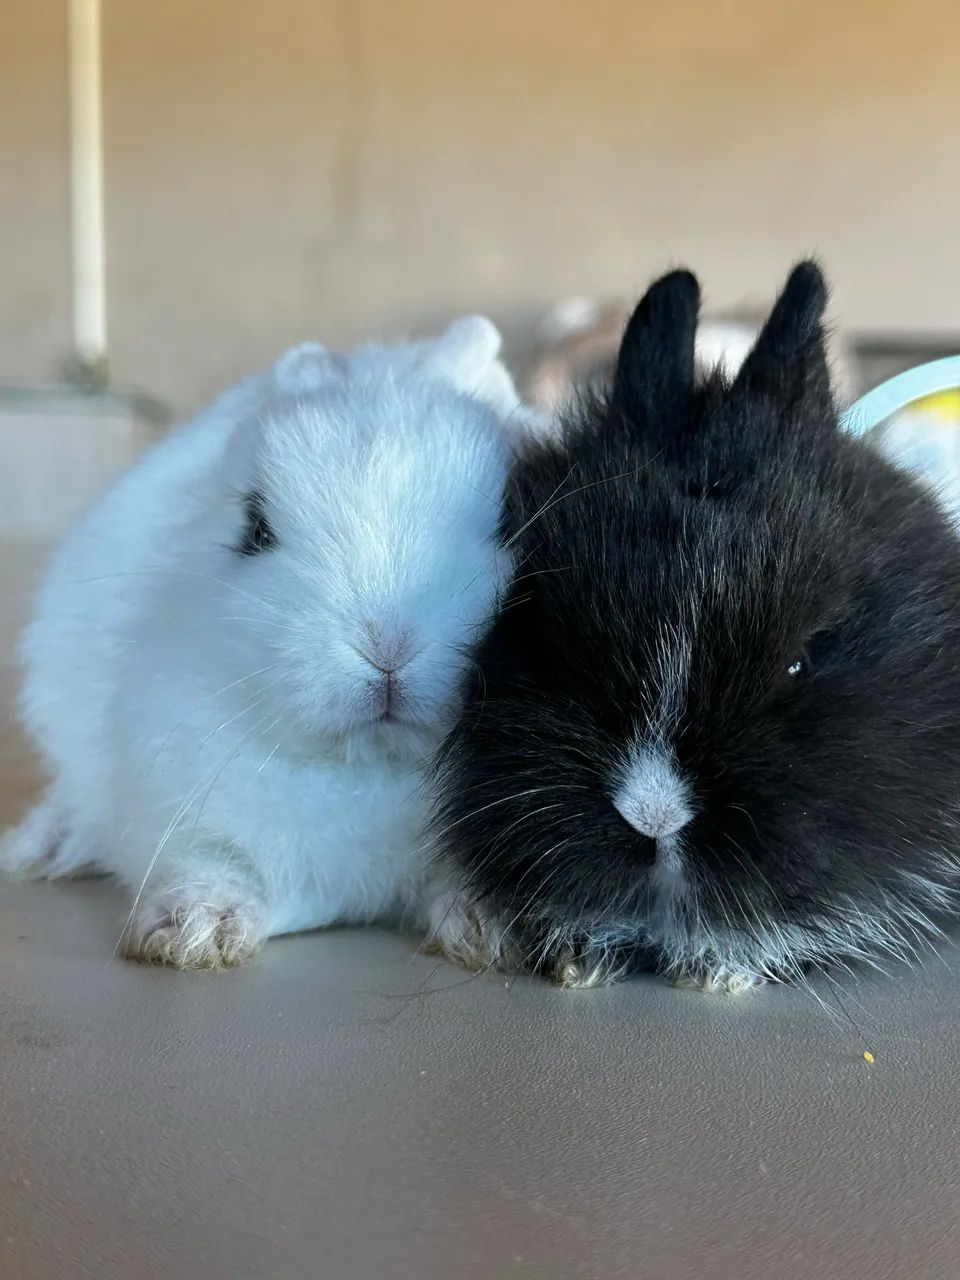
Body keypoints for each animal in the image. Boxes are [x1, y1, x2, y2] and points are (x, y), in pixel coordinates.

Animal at [3, 316, 538, 968]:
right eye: (255, 528)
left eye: (511, 515)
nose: (387, 646)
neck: (369, 761)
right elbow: (222, 866)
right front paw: (190, 931)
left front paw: (502, 923)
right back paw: (44, 848)